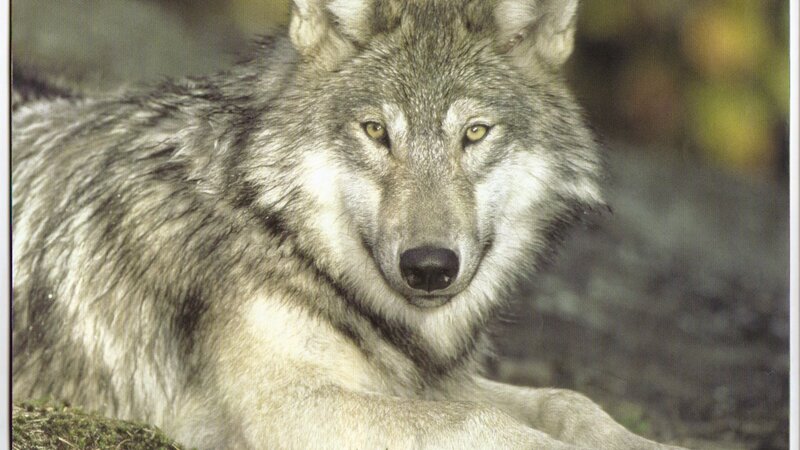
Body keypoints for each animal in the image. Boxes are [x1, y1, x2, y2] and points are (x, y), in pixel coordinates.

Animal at [11, 0, 685, 448]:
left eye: (474, 133)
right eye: (376, 131)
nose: (429, 267)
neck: (275, 225)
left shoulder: (429, 382)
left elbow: (568, 400)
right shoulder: (287, 407)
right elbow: (481, 421)